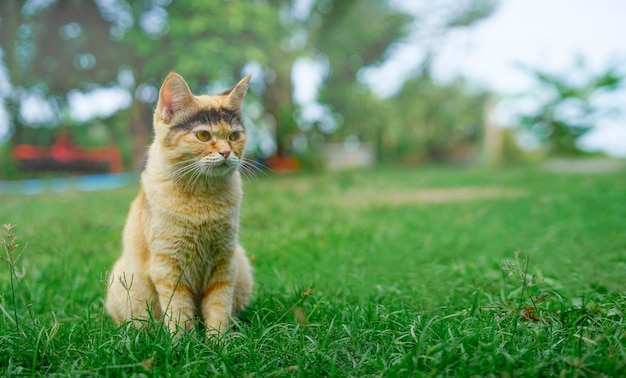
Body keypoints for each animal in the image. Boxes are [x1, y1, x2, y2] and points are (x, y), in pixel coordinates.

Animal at [106, 71, 252, 336]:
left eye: (234, 136)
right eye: (203, 135)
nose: (226, 153)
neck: (202, 199)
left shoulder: (225, 263)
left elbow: (219, 306)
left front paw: (218, 341)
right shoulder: (168, 266)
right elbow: (179, 311)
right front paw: (183, 342)